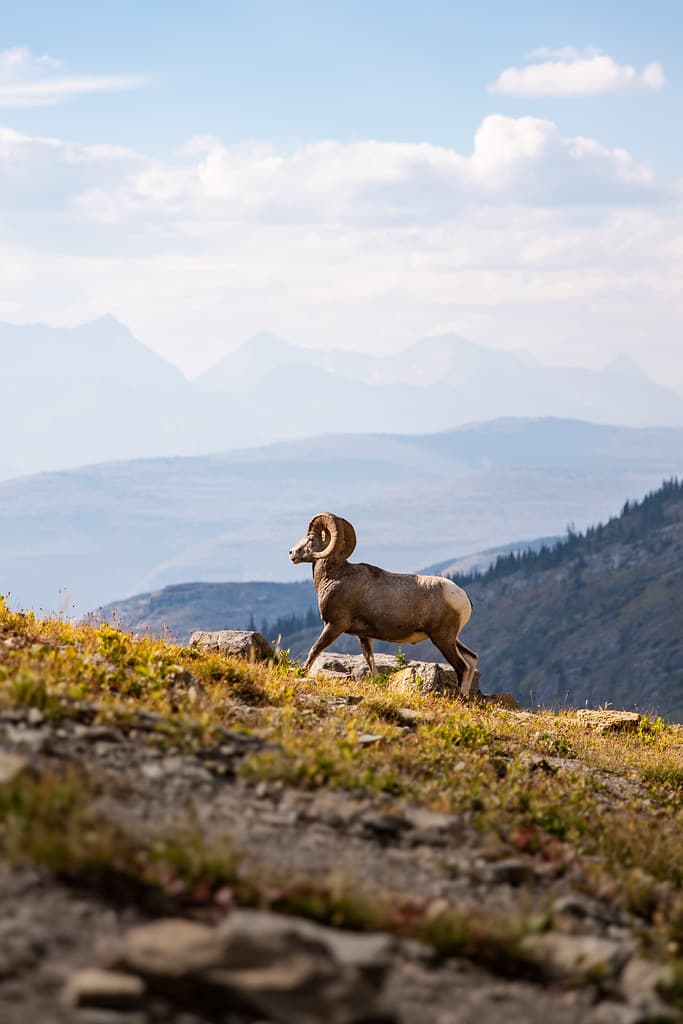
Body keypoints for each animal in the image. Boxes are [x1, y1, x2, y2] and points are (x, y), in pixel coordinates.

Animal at [289, 512, 478, 693]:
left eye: (311, 539)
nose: (291, 553)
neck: (336, 576)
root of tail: (462, 597)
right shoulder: (363, 636)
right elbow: (370, 662)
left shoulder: (334, 626)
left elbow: (314, 650)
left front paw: (301, 673)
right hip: (451, 638)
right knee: (471, 659)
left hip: (442, 639)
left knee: (462, 667)